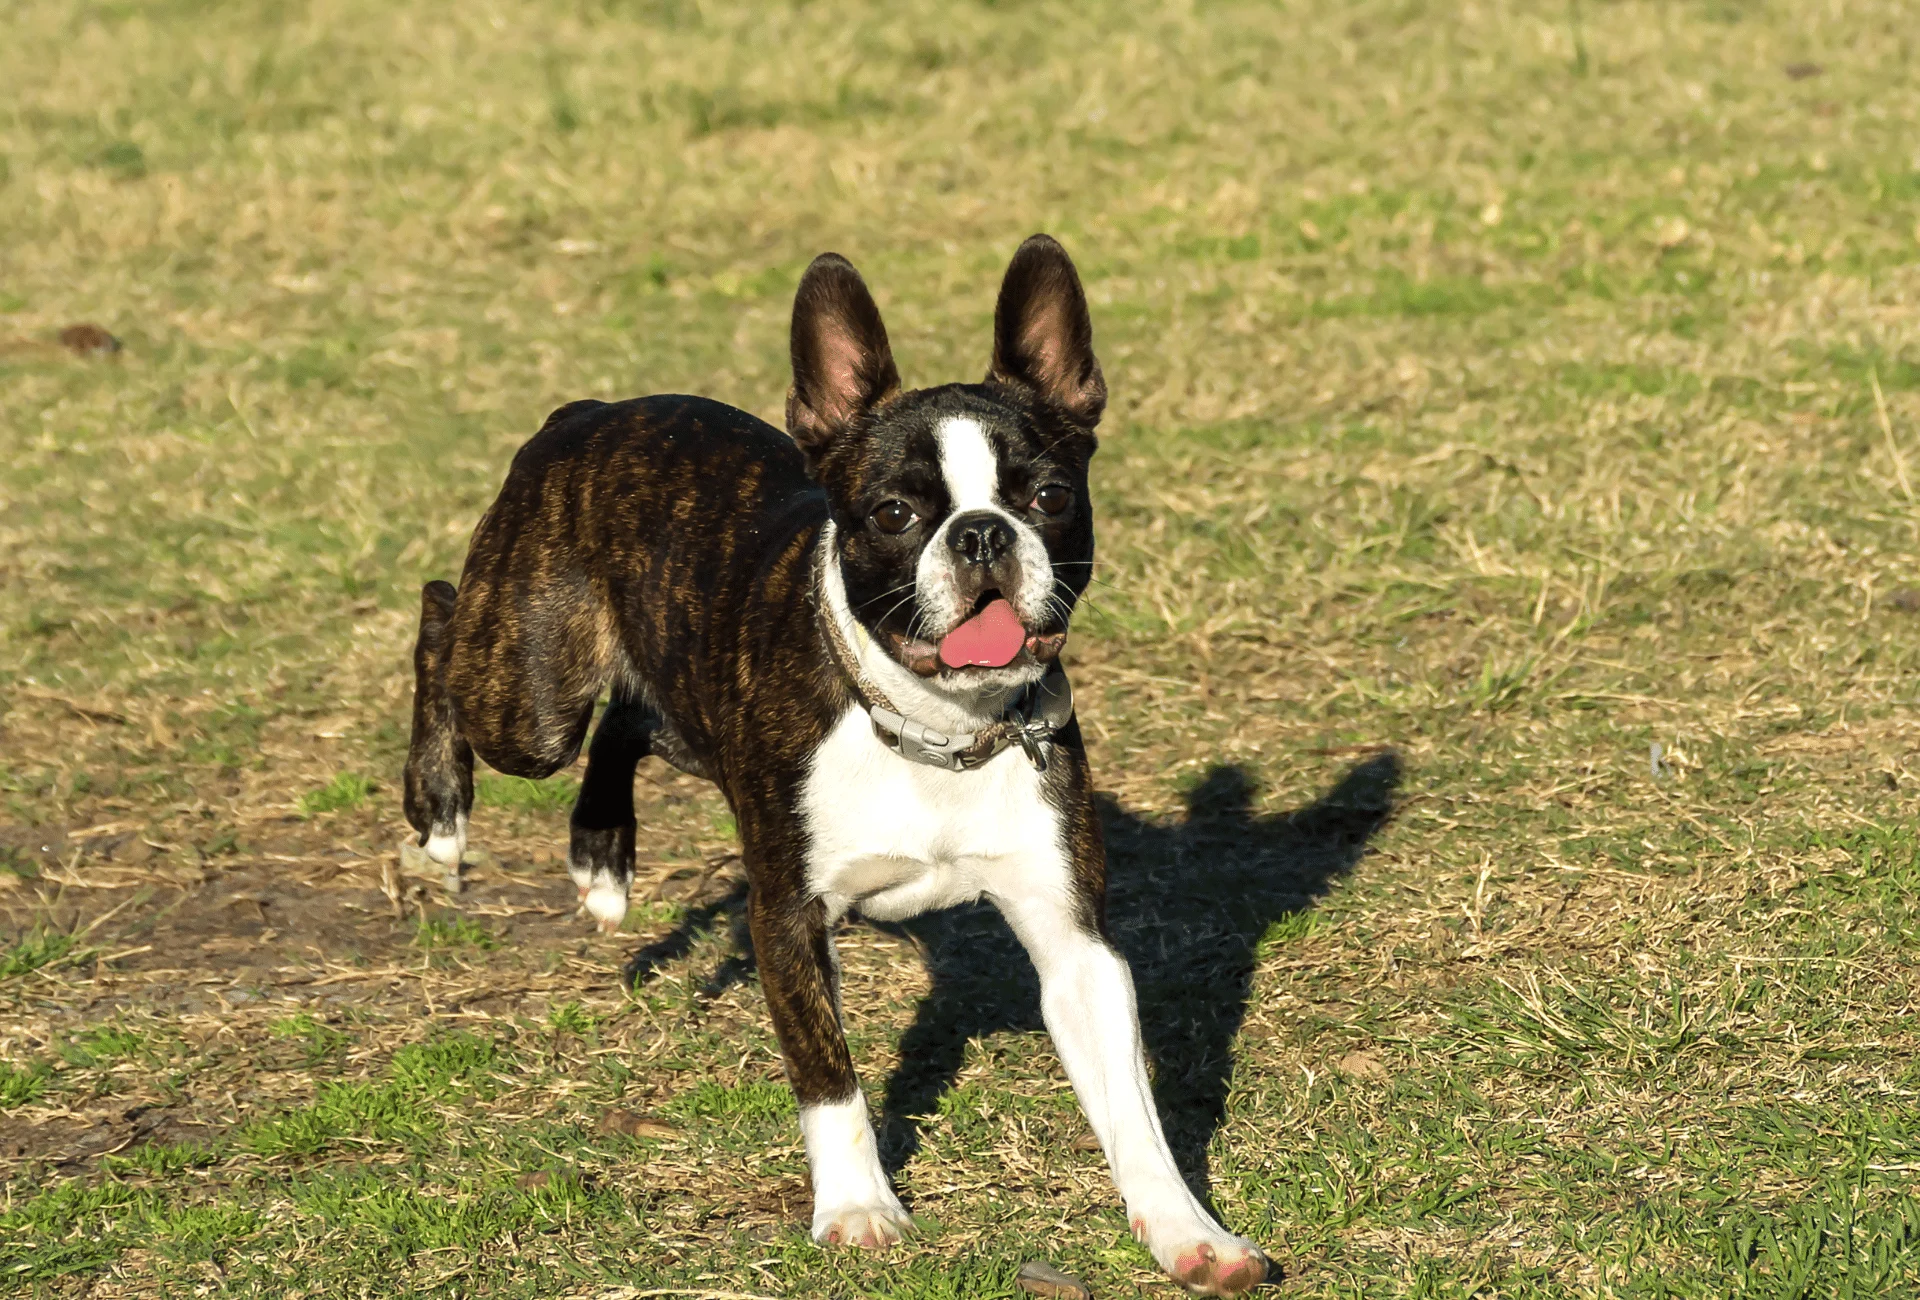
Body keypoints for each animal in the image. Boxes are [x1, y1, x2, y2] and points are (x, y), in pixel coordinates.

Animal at [401, 238, 1274, 1290]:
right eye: (894, 512)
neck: (934, 728)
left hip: (675, 708)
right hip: (529, 693)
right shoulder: (787, 920)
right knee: (442, 619)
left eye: (1051, 497)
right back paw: (441, 816)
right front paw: (858, 1208)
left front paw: (1189, 1233)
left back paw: (600, 858)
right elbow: (831, 1081)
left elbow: (1133, 1110)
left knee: (626, 721)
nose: (981, 532)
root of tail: (586, 413)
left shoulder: (1077, 948)